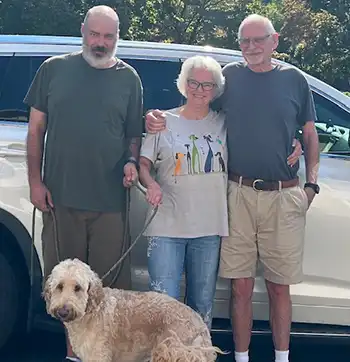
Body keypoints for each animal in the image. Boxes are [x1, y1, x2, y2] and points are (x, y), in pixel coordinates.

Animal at [43, 258, 224, 360]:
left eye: (78, 288)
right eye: (59, 286)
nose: (63, 311)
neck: (91, 311)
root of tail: (199, 324)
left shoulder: (98, 356)